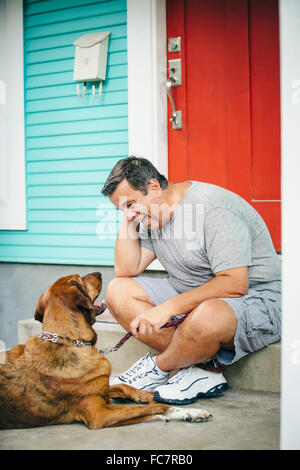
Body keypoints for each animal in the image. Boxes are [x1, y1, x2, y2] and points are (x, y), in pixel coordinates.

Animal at [0, 272, 211, 430]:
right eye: (79, 279)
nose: (99, 272)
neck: (70, 342)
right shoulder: (100, 415)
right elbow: (158, 408)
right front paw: (187, 412)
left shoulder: (101, 389)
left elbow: (122, 386)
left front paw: (147, 395)